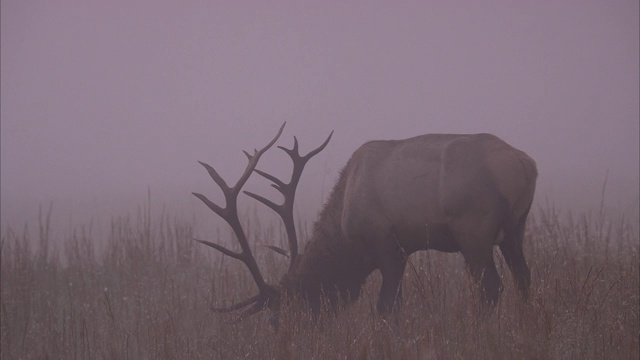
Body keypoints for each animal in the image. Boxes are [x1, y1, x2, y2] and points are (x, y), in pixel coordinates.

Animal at [192, 123, 536, 320]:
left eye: (285, 313)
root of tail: (526, 163)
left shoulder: (386, 245)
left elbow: (386, 307)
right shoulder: (401, 251)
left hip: (473, 229)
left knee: (491, 288)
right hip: (515, 229)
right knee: (523, 278)